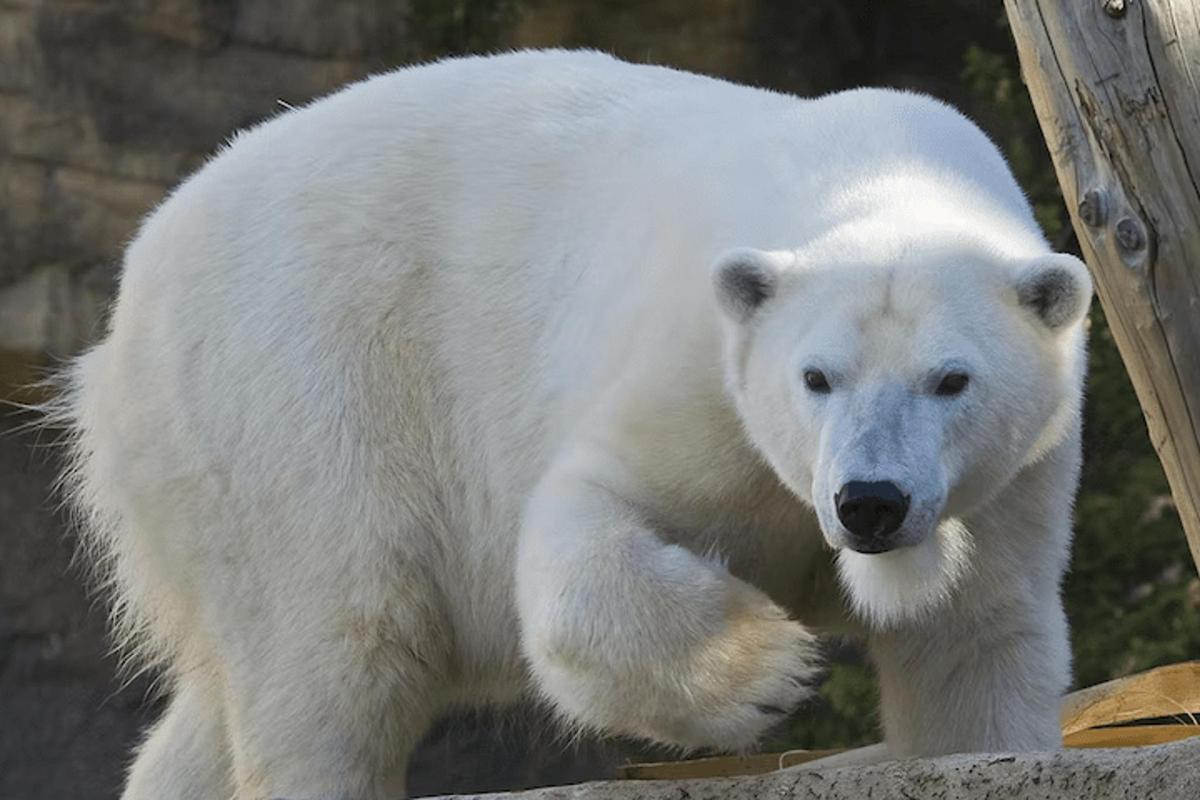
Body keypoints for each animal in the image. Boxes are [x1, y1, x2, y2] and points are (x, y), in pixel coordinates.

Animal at [56, 51, 1089, 800]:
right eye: (816, 377)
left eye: (952, 380)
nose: (869, 502)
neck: (883, 167)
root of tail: (127, 304)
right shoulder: (697, 372)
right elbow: (584, 528)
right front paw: (771, 669)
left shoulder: (1010, 480)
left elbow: (973, 647)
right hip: (294, 385)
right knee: (339, 643)